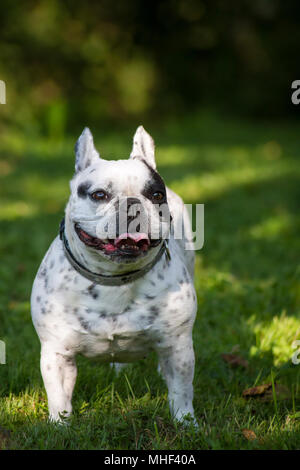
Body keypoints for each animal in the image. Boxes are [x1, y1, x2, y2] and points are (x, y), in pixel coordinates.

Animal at [31, 126, 198, 424]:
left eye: (156, 195)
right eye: (99, 195)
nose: (132, 203)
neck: (114, 279)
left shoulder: (178, 348)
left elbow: (181, 391)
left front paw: (187, 425)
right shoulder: (57, 353)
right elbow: (59, 397)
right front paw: (59, 426)